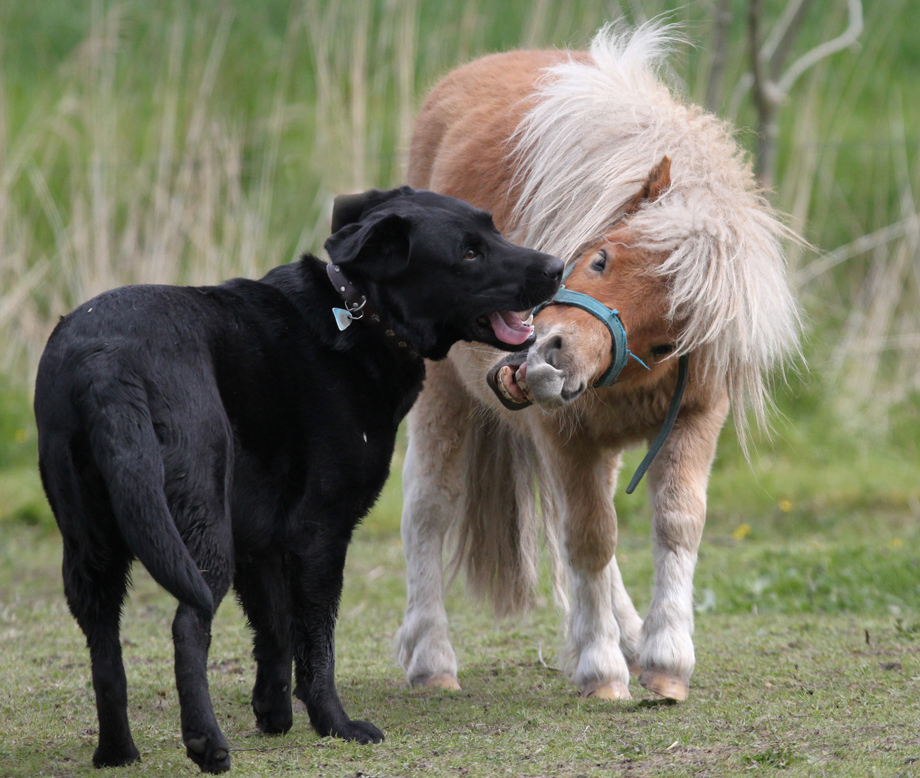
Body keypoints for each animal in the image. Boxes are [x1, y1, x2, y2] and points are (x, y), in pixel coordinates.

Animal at [34, 186, 560, 768]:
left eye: (491, 229)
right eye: (468, 253)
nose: (557, 267)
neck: (359, 312)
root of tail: (106, 363)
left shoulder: (259, 540)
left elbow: (275, 631)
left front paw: (274, 714)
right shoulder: (319, 533)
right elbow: (316, 643)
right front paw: (336, 724)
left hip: (94, 549)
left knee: (105, 646)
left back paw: (117, 752)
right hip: (199, 526)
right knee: (188, 624)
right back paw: (207, 743)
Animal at [398, 24, 800, 700]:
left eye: (669, 334)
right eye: (602, 259)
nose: (551, 357)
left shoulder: (692, 419)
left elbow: (673, 526)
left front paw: (664, 660)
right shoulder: (563, 430)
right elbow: (589, 538)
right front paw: (601, 670)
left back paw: (631, 637)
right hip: (444, 392)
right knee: (430, 506)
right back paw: (431, 659)